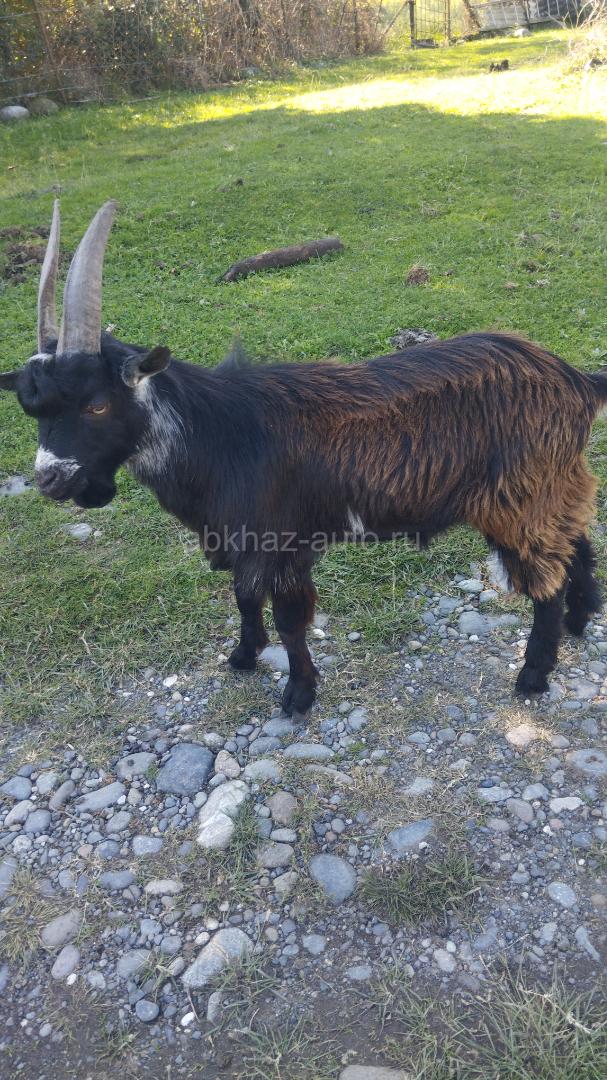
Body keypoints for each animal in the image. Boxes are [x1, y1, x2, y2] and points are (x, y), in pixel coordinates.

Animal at [1, 200, 604, 713]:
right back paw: (581, 620)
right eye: (32, 407)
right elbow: (243, 598)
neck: (219, 433)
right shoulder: (238, 537)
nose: (51, 479)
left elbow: (290, 619)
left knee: (546, 581)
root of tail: (577, 381)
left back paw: (533, 675)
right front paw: (242, 657)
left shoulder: (283, 542)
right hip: (556, 483)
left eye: (98, 404)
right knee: (578, 542)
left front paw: (299, 694)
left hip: (519, 498)